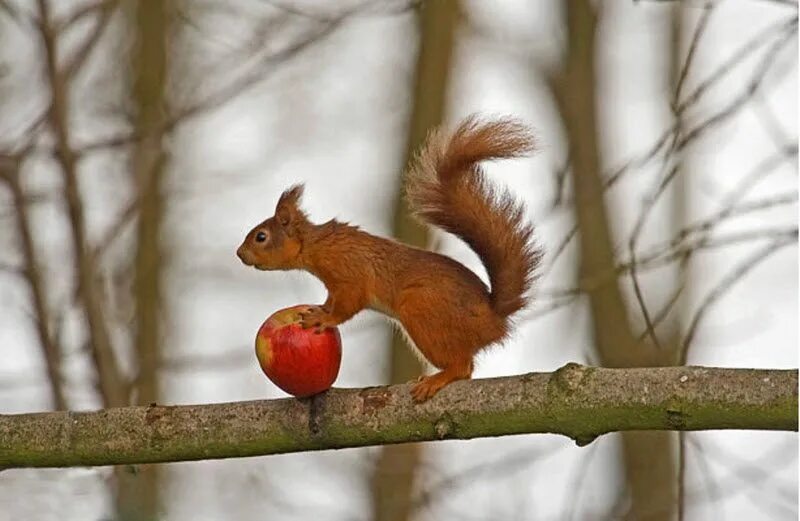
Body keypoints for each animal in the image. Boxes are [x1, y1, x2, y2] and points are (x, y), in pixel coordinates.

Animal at [234, 116, 540, 400]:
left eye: (260, 236)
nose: (239, 254)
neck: (317, 245)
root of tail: (493, 319)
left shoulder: (349, 272)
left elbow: (348, 305)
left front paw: (325, 319)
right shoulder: (334, 286)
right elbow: (331, 300)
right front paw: (319, 309)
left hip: (421, 309)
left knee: (463, 367)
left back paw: (437, 379)